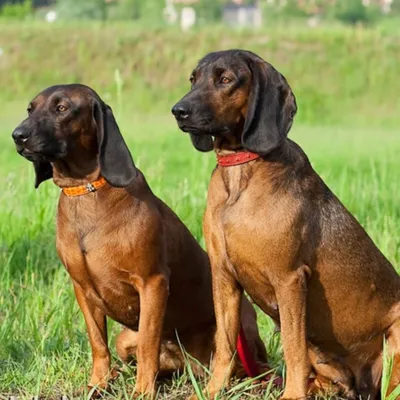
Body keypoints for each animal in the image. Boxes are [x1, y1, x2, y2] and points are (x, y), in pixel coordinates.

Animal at [12, 83, 276, 396]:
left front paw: (141, 392)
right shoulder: (82, 289)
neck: (88, 191)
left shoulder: (152, 284)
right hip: (126, 339)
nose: (17, 135)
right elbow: (98, 344)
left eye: (62, 108)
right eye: (30, 109)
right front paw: (98, 384)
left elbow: (148, 345)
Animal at [172, 50, 400, 400]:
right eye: (193, 79)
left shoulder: (290, 279)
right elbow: (224, 344)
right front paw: (212, 390)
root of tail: (363, 385)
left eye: (225, 79)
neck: (241, 175)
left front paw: (292, 395)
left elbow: (293, 350)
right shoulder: (223, 276)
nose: (178, 111)